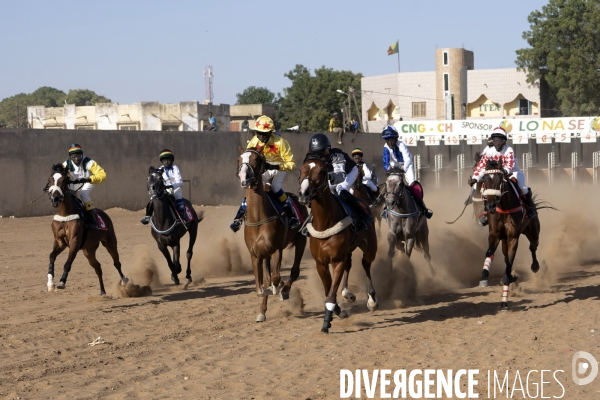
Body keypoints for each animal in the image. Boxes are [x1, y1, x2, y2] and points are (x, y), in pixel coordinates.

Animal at [46, 164, 129, 296]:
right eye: (50, 179)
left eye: (64, 180)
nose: (55, 199)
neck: (65, 214)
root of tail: (103, 214)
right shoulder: (59, 241)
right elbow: (52, 256)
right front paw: (50, 283)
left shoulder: (75, 241)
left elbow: (68, 263)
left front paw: (61, 282)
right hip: (88, 250)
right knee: (98, 267)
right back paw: (102, 291)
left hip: (110, 241)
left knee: (116, 262)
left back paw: (124, 280)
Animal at [236, 147, 308, 322]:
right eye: (239, 159)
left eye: (256, 159)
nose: (244, 178)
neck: (259, 218)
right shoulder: (256, 254)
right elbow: (260, 286)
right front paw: (262, 308)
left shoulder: (276, 250)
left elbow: (275, 279)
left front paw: (279, 287)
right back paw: (262, 311)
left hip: (301, 241)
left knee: (294, 271)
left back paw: (285, 290)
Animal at [298, 156, 378, 334]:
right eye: (301, 170)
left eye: (322, 171)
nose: (303, 193)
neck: (325, 223)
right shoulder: (320, 263)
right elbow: (328, 292)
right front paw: (339, 311)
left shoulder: (336, 260)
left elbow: (331, 294)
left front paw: (326, 323)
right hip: (348, 250)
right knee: (350, 264)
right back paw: (348, 293)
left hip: (370, 247)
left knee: (366, 263)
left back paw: (372, 300)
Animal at [476, 159, 540, 310]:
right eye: (484, 180)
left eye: (500, 180)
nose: (491, 206)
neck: (504, 208)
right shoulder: (494, 235)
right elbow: (489, 253)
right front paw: (484, 277)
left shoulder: (513, 238)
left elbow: (510, 262)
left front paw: (504, 300)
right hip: (504, 240)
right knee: (505, 258)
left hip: (533, 231)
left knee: (533, 247)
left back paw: (534, 266)